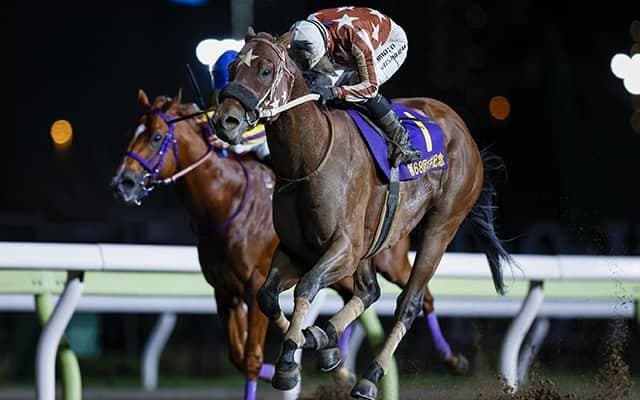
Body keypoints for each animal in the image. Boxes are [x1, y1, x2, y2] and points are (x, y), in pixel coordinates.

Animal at [110, 90, 473, 399]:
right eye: (132, 133)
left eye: (156, 137)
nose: (123, 183)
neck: (225, 203)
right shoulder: (224, 291)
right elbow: (239, 356)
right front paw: (308, 353)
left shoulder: (252, 283)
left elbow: (252, 360)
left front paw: (293, 359)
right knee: (363, 295)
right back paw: (334, 355)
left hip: (391, 259)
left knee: (422, 298)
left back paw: (451, 359)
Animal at [212, 28, 515, 400]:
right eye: (233, 68)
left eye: (266, 70)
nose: (225, 121)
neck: (309, 157)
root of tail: (465, 133)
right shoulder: (297, 249)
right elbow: (268, 297)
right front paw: (314, 348)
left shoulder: (344, 247)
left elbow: (307, 287)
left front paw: (288, 364)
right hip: (376, 239)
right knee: (369, 291)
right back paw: (325, 336)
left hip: (441, 227)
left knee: (409, 303)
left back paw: (370, 377)